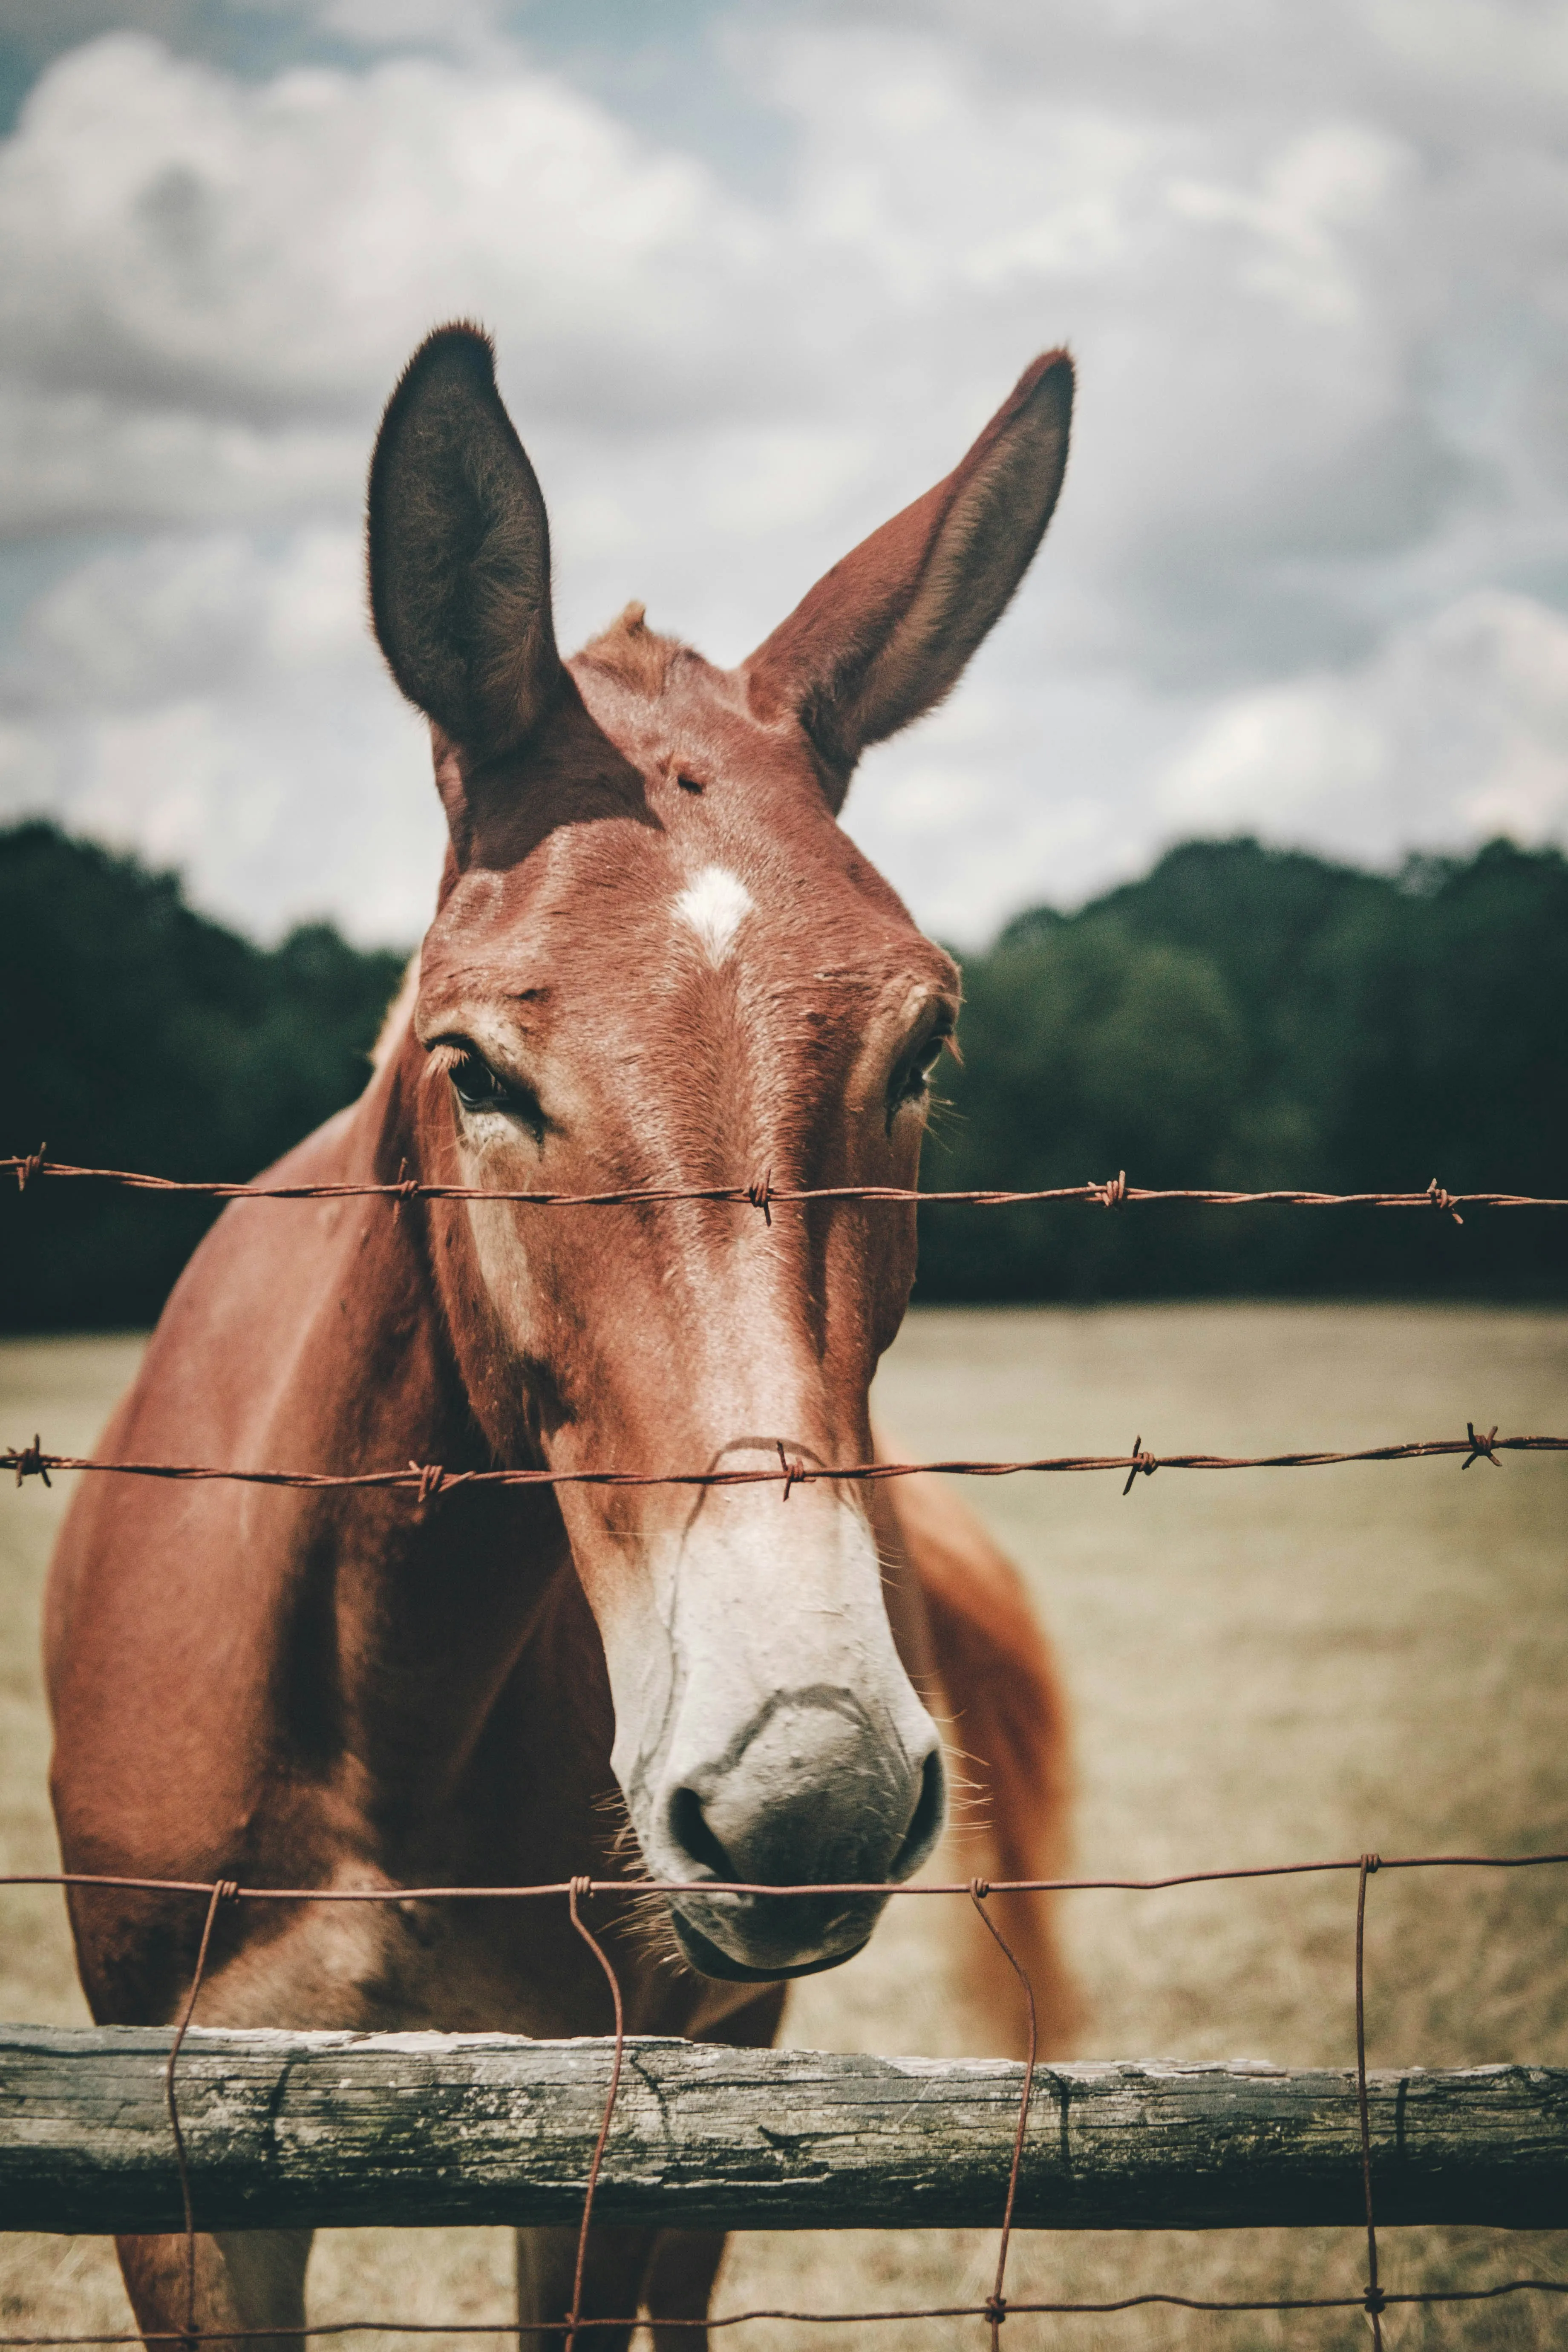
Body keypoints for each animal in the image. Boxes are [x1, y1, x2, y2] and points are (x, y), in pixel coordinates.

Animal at [46, 323, 1078, 2348]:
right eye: (475, 1067)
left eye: (925, 1043)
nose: (804, 1784)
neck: (381, 1719)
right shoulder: (184, 2164)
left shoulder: (607, 2137)